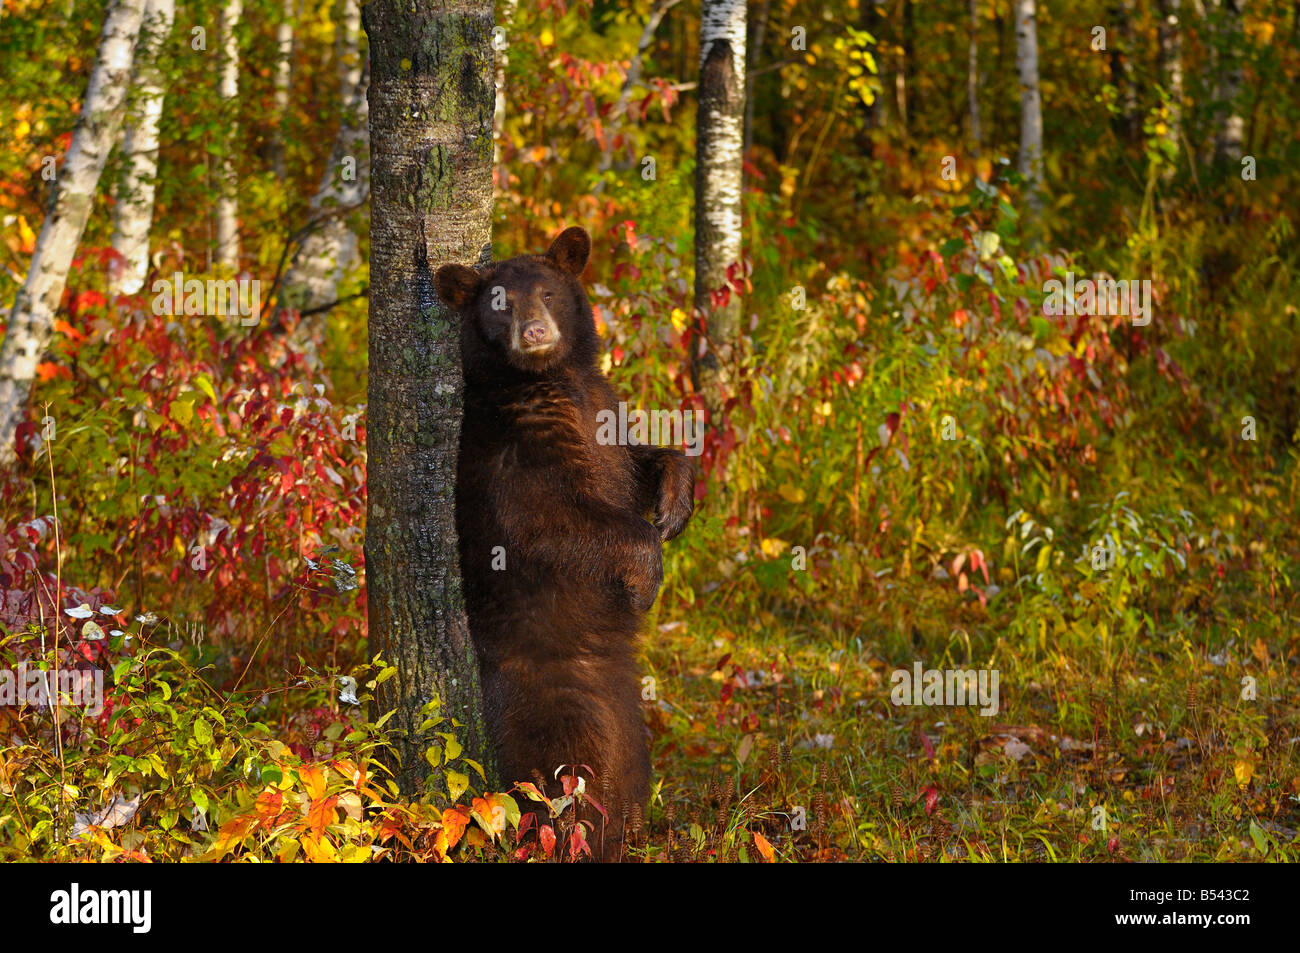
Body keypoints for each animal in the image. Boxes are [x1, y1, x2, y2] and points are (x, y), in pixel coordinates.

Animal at [434, 226, 702, 858]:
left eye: (549, 294)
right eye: (499, 304)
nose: (533, 332)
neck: (548, 380)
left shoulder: (603, 407)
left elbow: (634, 463)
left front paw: (675, 503)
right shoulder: (514, 450)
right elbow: (554, 518)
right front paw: (646, 578)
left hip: (628, 722)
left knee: (626, 775)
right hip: (555, 706)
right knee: (565, 784)